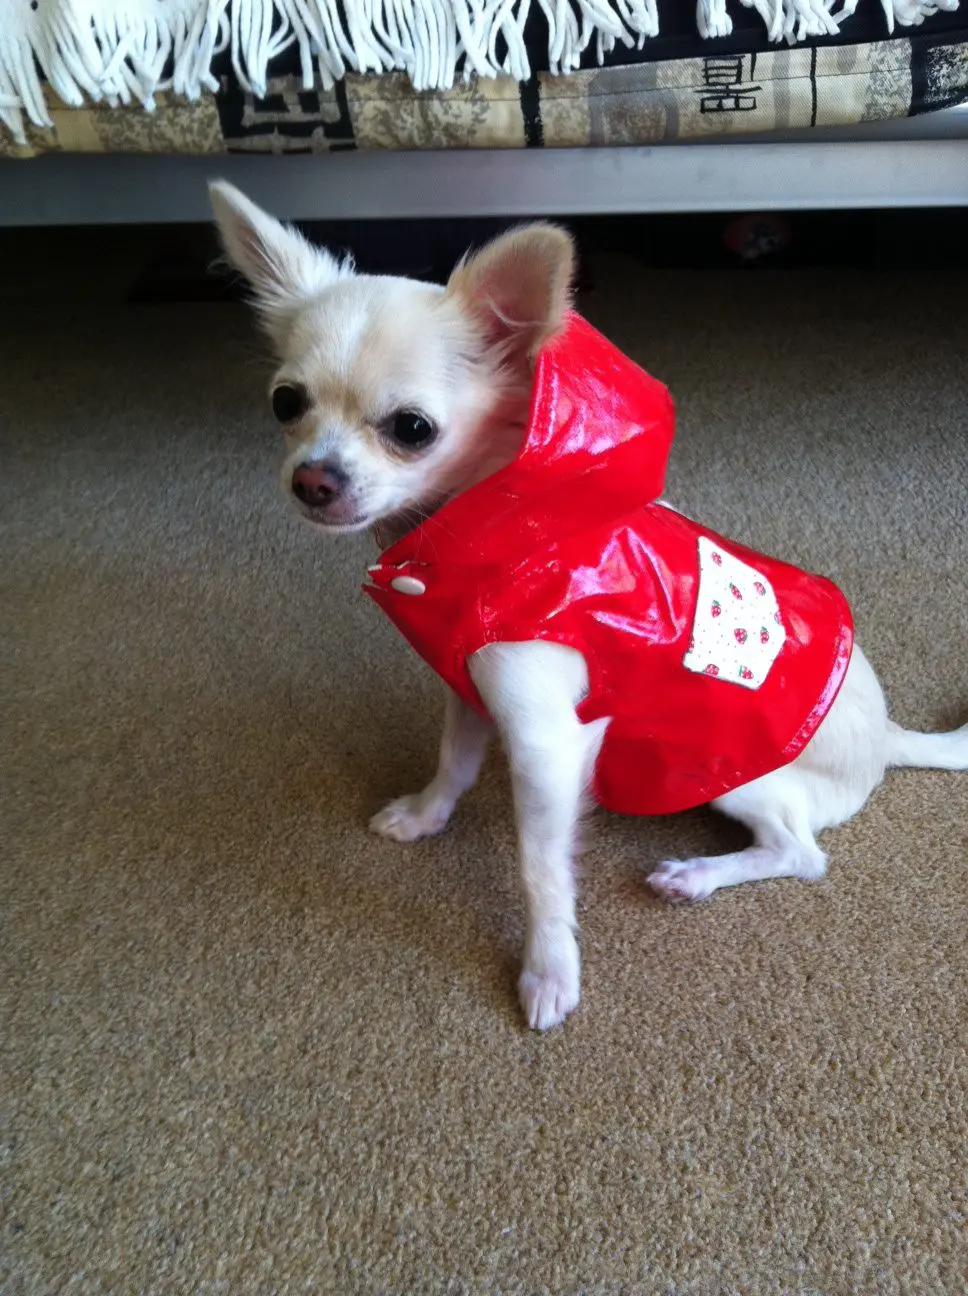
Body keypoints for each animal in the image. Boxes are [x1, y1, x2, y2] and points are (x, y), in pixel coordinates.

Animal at [210, 180, 968, 1031]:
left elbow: (541, 872)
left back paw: (697, 874)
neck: (504, 528)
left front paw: (548, 971)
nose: (312, 479)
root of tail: (890, 740)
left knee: (802, 854)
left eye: (412, 429)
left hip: (730, 771)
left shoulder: (547, 748)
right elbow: (454, 762)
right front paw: (427, 814)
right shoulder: (468, 685)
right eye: (285, 404)